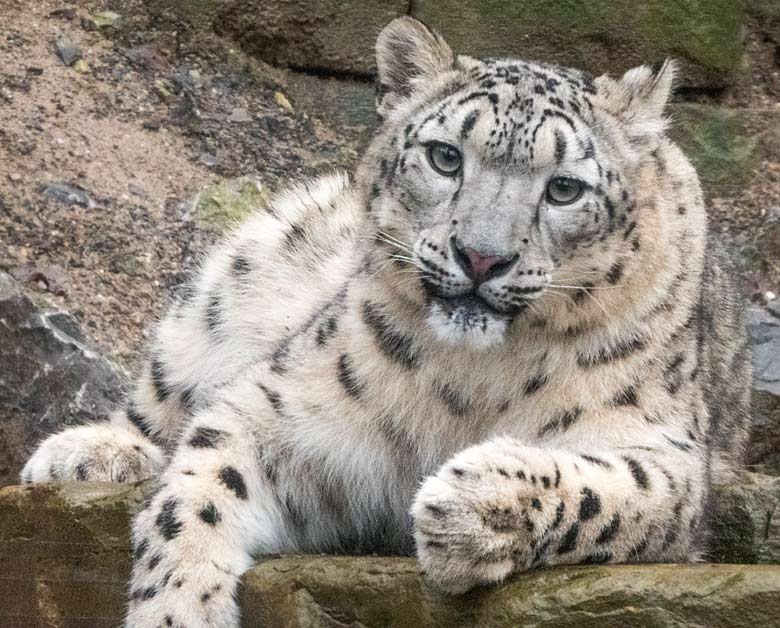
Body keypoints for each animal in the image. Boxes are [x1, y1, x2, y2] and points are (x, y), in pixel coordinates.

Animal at [22, 14, 748, 628]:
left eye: (565, 188)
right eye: (446, 156)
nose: (481, 256)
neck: (475, 381)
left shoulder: (668, 456)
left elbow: (605, 491)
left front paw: (471, 507)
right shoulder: (282, 408)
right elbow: (197, 488)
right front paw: (175, 610)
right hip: (240, 273)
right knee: (161, 396)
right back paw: (87, 455)